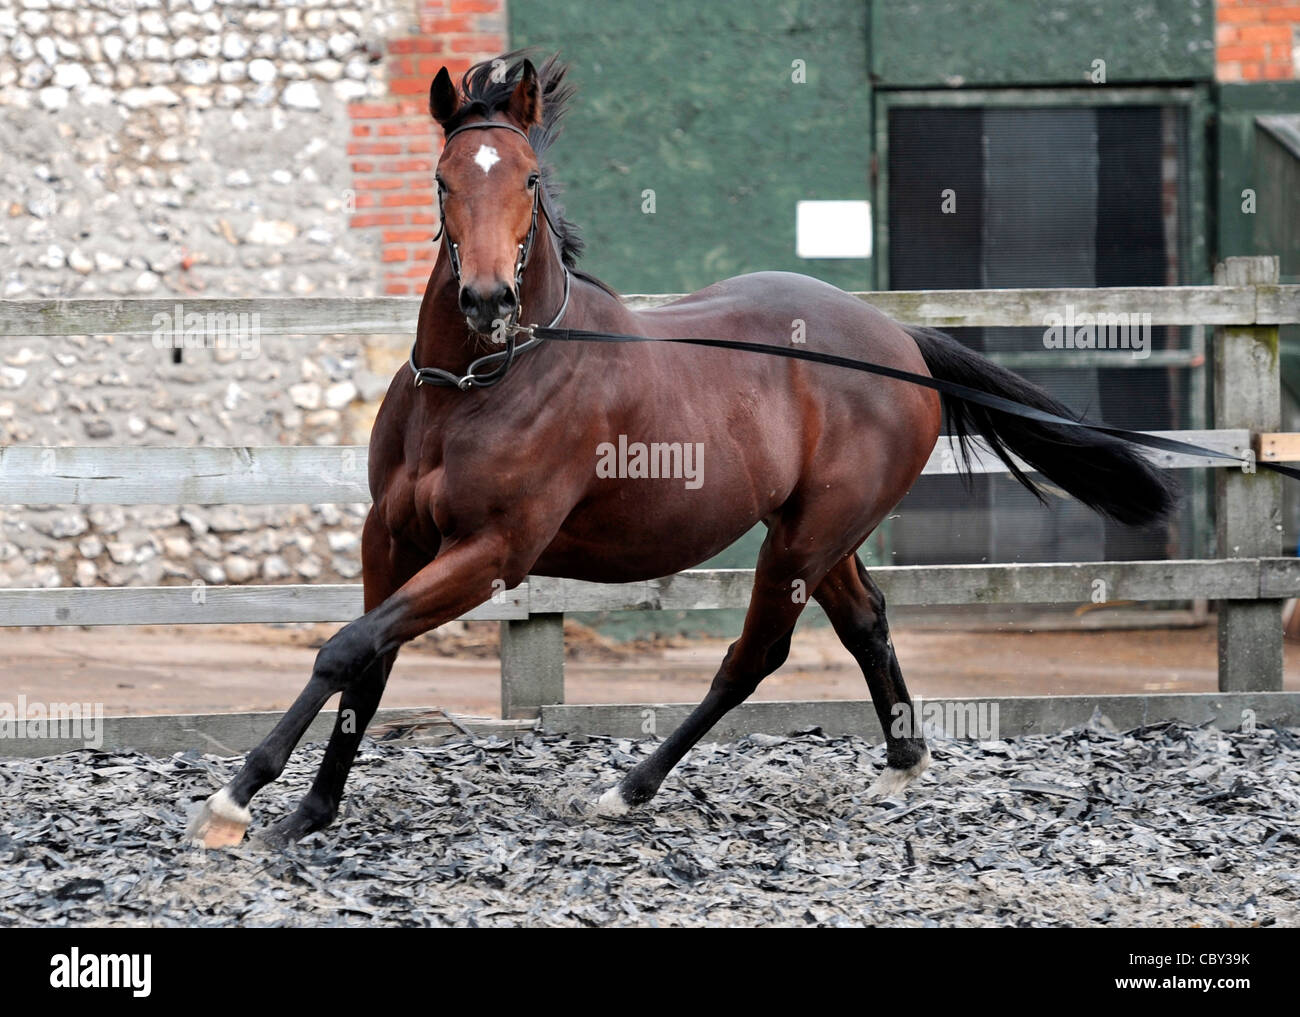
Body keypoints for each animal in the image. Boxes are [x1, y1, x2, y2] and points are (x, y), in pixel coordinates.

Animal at [188, 55, 1175, 853]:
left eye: (530, 178)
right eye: (442, 178)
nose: (486, 300)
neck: (473, 384)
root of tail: (898, 341)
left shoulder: (493, 552)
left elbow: (347, 647)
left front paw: (239, 797)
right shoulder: (390, 538)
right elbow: (369, 659)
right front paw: (306, 811)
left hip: (803, 541)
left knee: (754, 656)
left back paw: (626, 791)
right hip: (821, 535)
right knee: (866, 621)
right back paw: (901, 762)